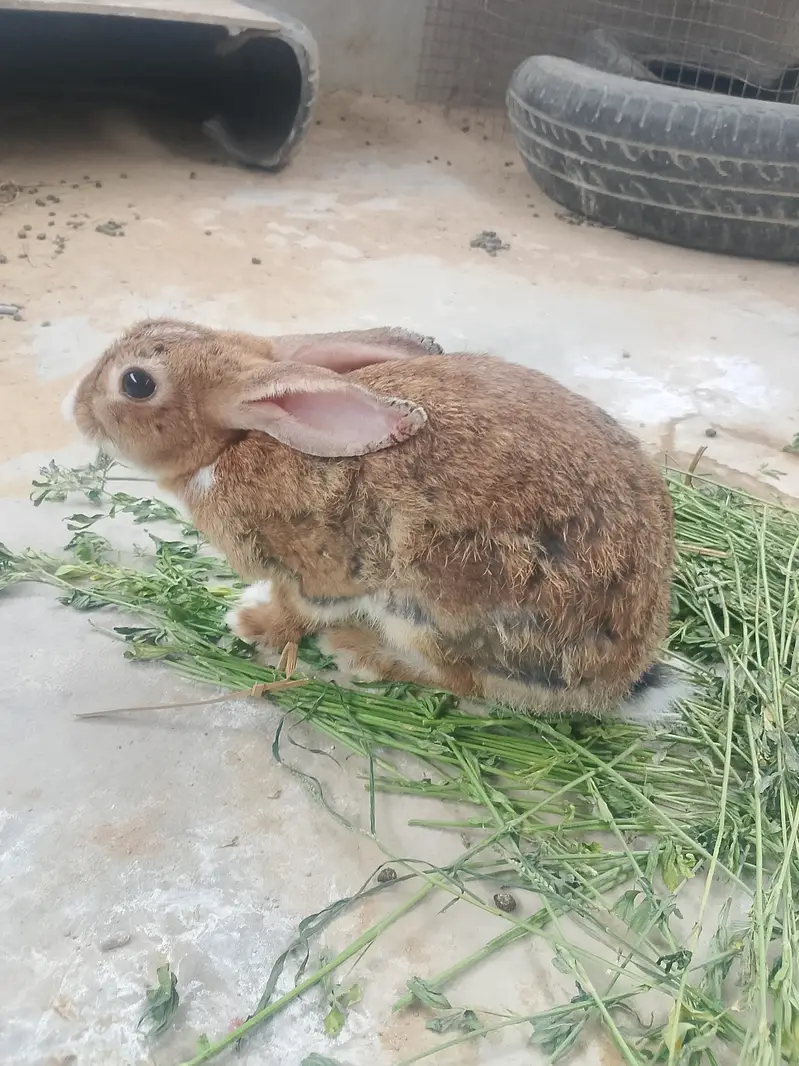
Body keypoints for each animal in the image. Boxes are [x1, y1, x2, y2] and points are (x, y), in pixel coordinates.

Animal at [69, 318, 683, 723]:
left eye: (136, 383)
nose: (74, 407)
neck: (232, 442)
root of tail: (618, 680)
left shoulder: (313, 567)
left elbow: (300, 608)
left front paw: (250, 622)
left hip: (432, 606)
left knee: (459, 680)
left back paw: (359, 653)